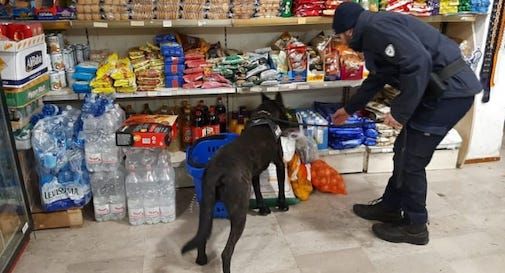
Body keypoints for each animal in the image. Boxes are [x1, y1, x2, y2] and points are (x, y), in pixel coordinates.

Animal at [181, 92, 290, 272]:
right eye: (284, 110)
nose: (289, 122)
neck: (265, 115)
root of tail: (218, 171)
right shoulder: (280, 163)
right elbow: (281, 186)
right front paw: (282, 205)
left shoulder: (254, 174)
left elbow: (258, 191)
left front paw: (262, 208)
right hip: (239, 211)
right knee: (226, 253)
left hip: (207, 205)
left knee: (202, 234)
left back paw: (201, 259)